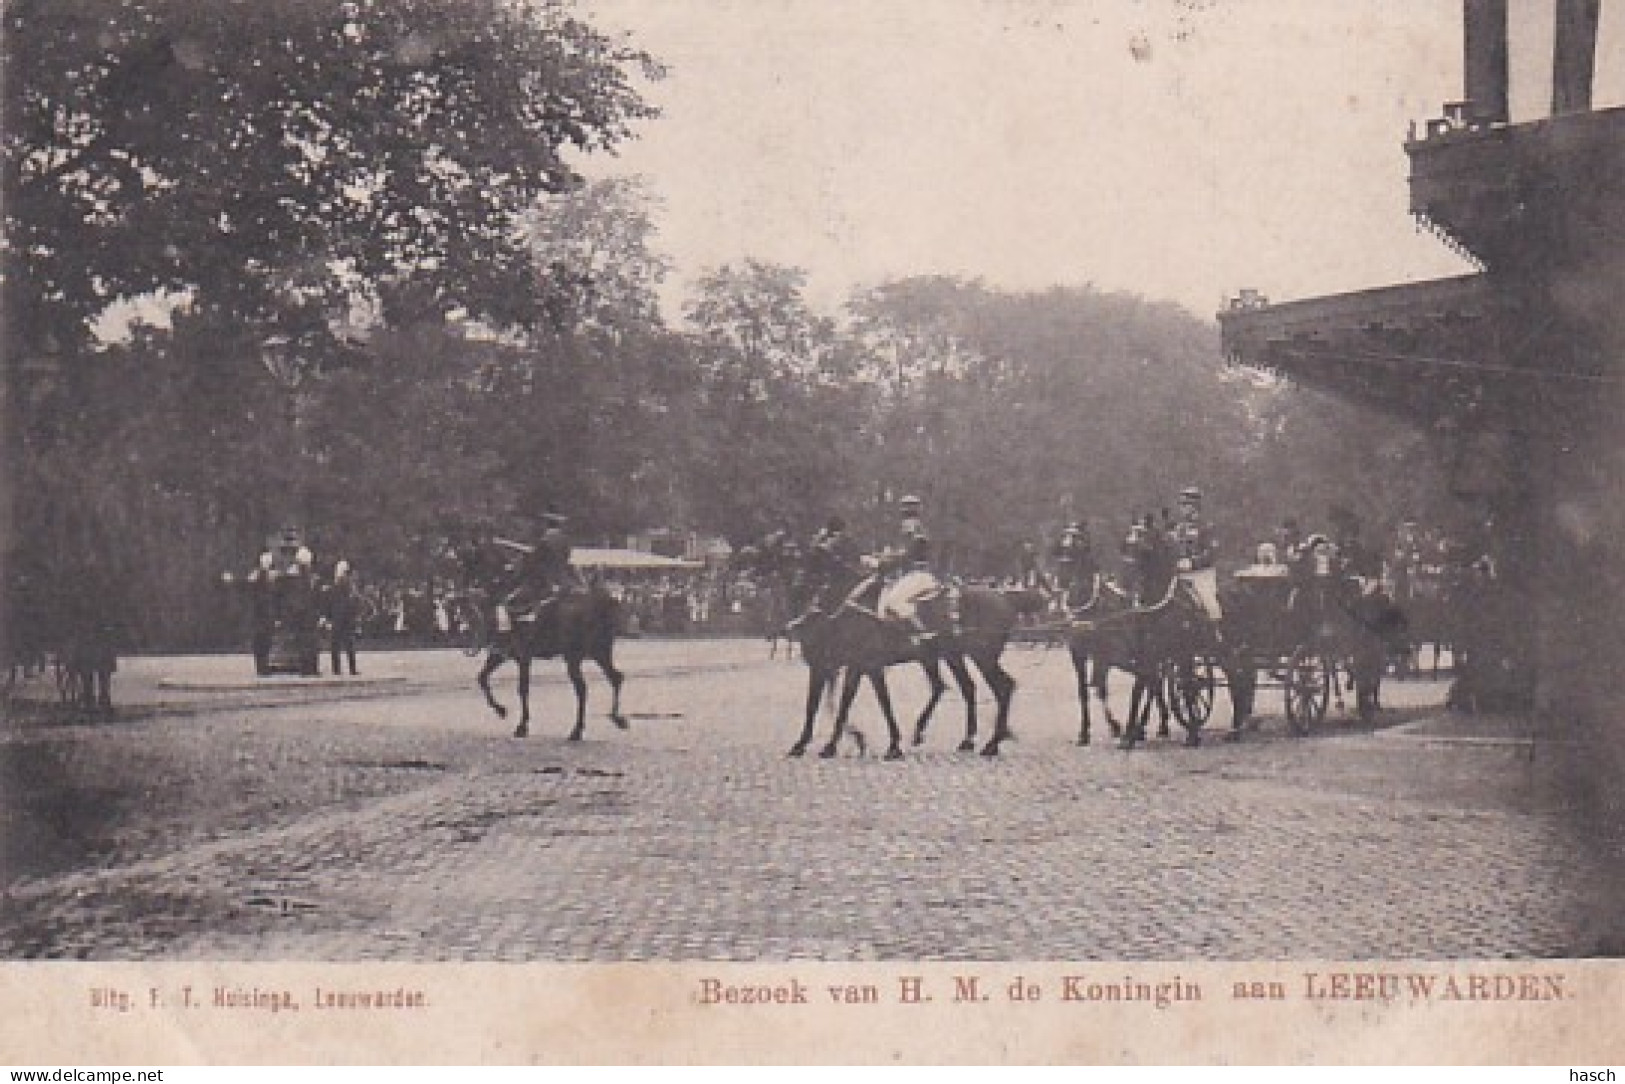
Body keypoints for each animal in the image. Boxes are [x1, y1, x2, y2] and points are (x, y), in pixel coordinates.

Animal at [474, 588, 627, 741]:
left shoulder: (523, 656)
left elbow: (522, 689)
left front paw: (521, 726)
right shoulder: (500, 653)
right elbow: (482, 677)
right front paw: (501, 710)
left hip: (575, 656)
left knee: (583, 688)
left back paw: (577, 730)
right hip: (599, 652)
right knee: (615, 677)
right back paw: (616, 719)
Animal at [786, 575, 1014, 763]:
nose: (791, 626)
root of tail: (1004, 601)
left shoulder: (868, 667)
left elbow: (876, 704)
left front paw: (891, 746)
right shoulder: (855, 668)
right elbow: (840, 705)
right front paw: (813, 745)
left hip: (981, 657)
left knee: (1002, 687)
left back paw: (992, 743)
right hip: (951, 656)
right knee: (963, 687)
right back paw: (967, 740)